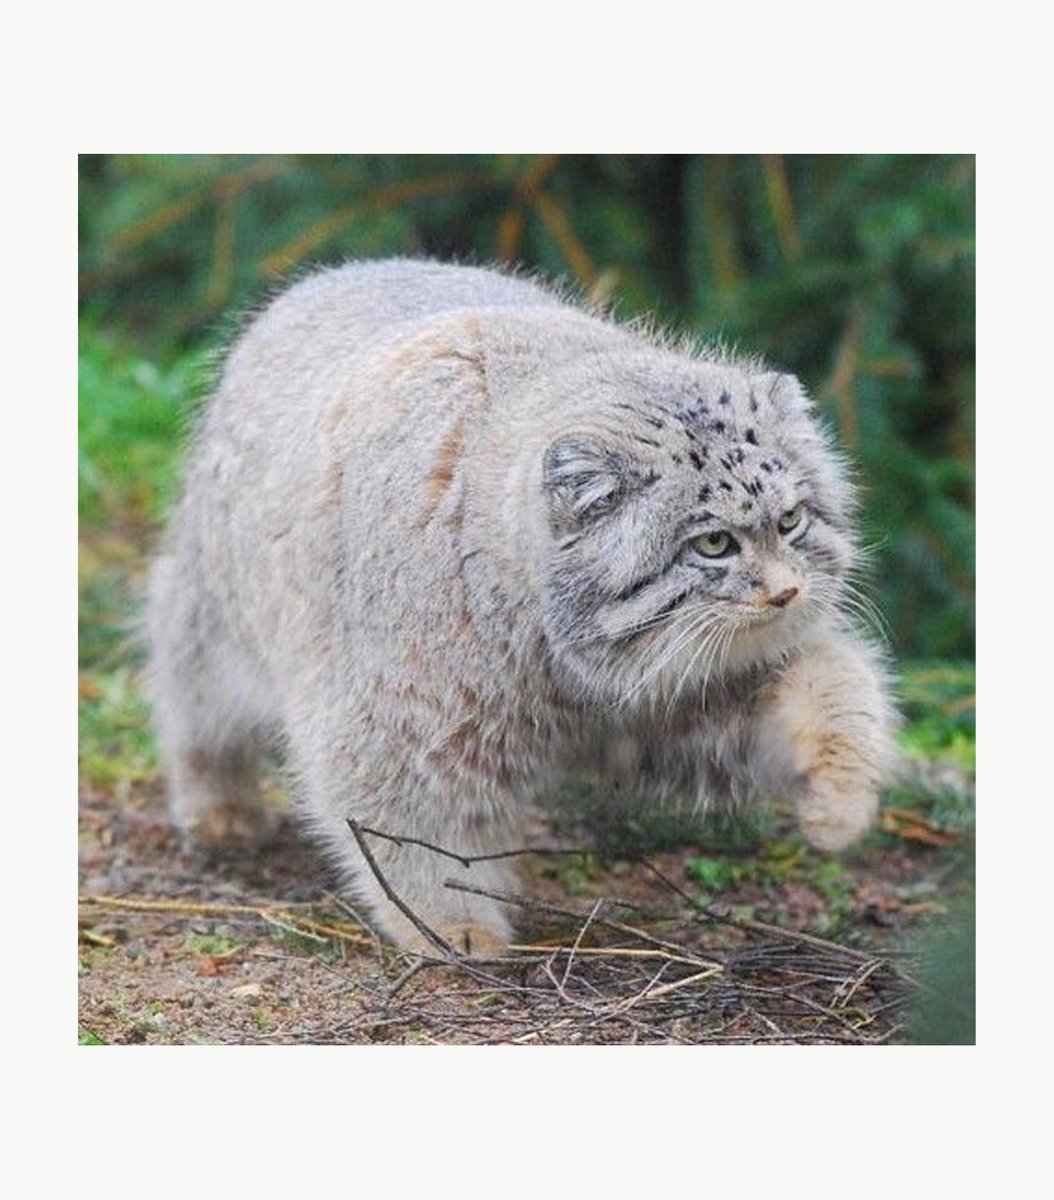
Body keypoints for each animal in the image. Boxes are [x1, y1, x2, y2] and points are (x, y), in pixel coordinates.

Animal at [144, 262, 893, 955]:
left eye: (791, 521)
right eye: (714, 543)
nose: (787, 592)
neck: (558, 655)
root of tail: (331, 274)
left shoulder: (690, 693)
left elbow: (832, 687)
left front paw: (841, 796)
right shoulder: (399, 716)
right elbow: (410, 826)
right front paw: (449, 922)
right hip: (215, 611)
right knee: (191, 696)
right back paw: (217, 800)